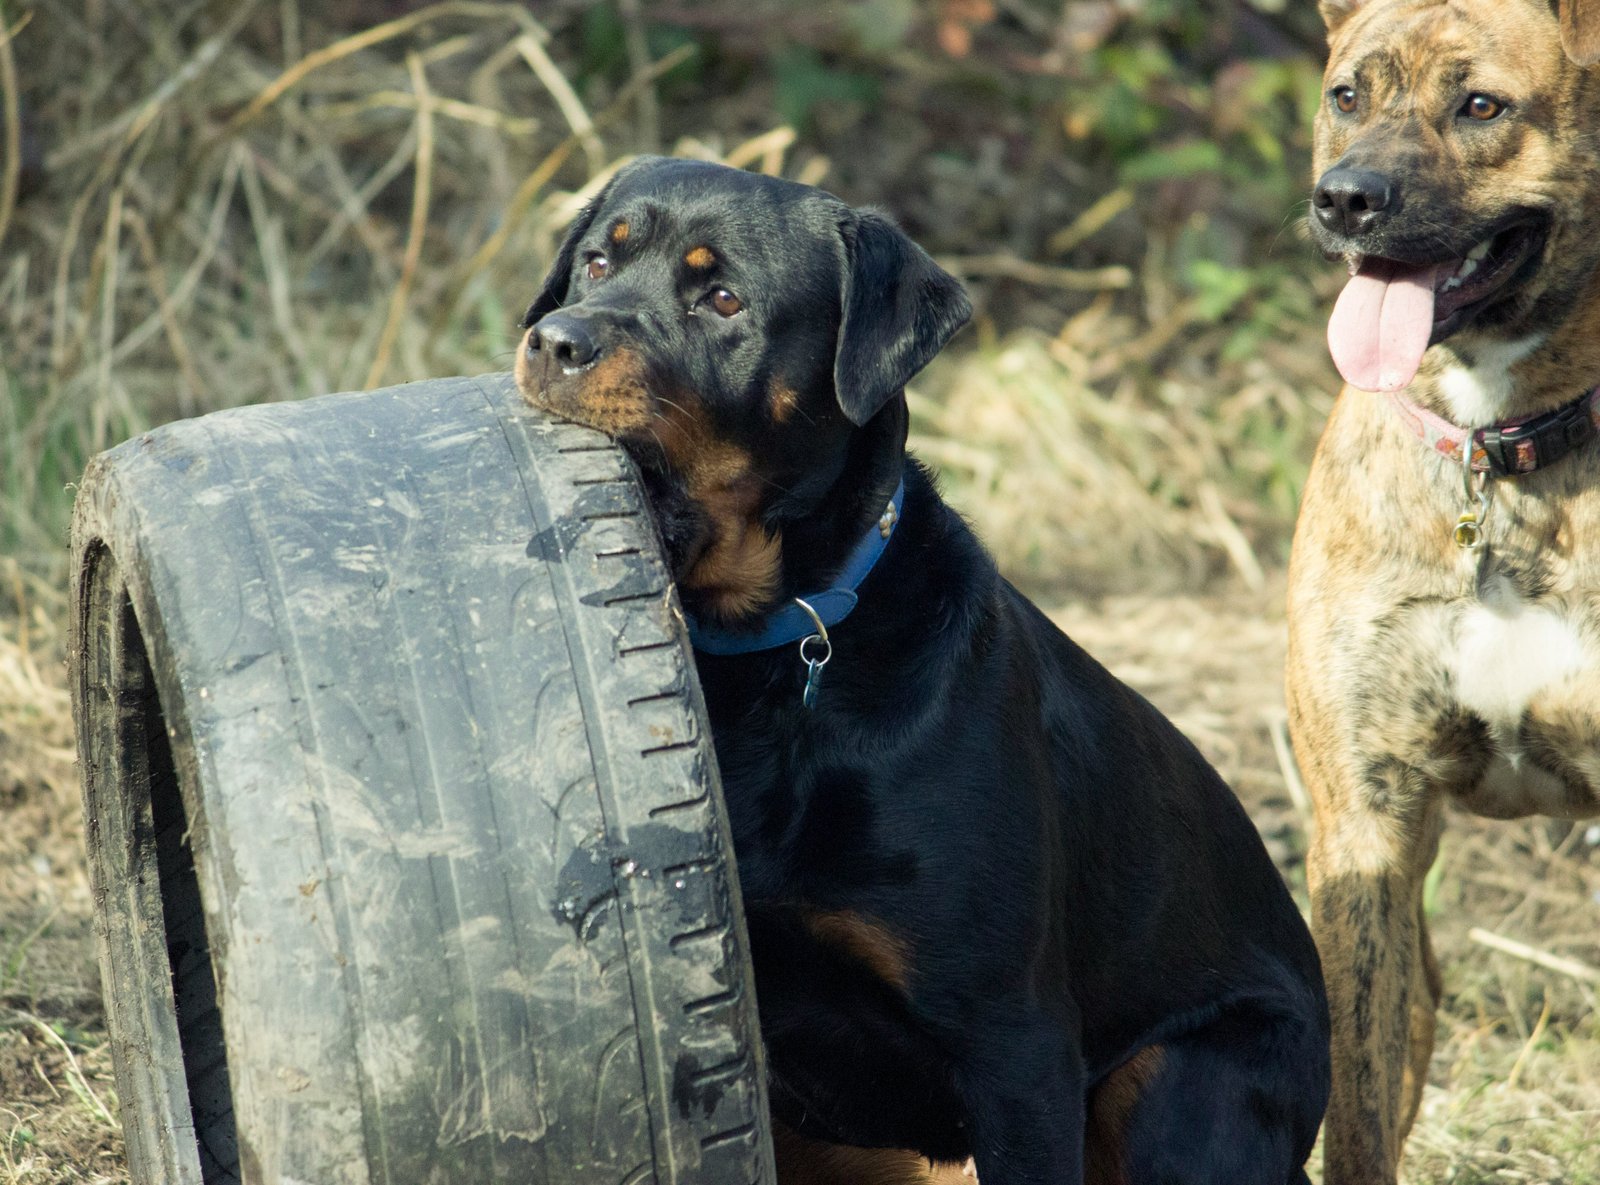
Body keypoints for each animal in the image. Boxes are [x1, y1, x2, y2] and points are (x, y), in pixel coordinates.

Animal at [512, 159, 1324, 1183]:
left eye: (724, 300)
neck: (771, 658)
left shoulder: (1015, 1043)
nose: (557, 341)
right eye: (596, 261)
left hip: (1181, 1077)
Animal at [1292, 2, 1600, 1183]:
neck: (1497, 447)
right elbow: (1356, 1110)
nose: (1345, 200)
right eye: (1346, 95)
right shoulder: (1364, 828)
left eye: (1480, 106)